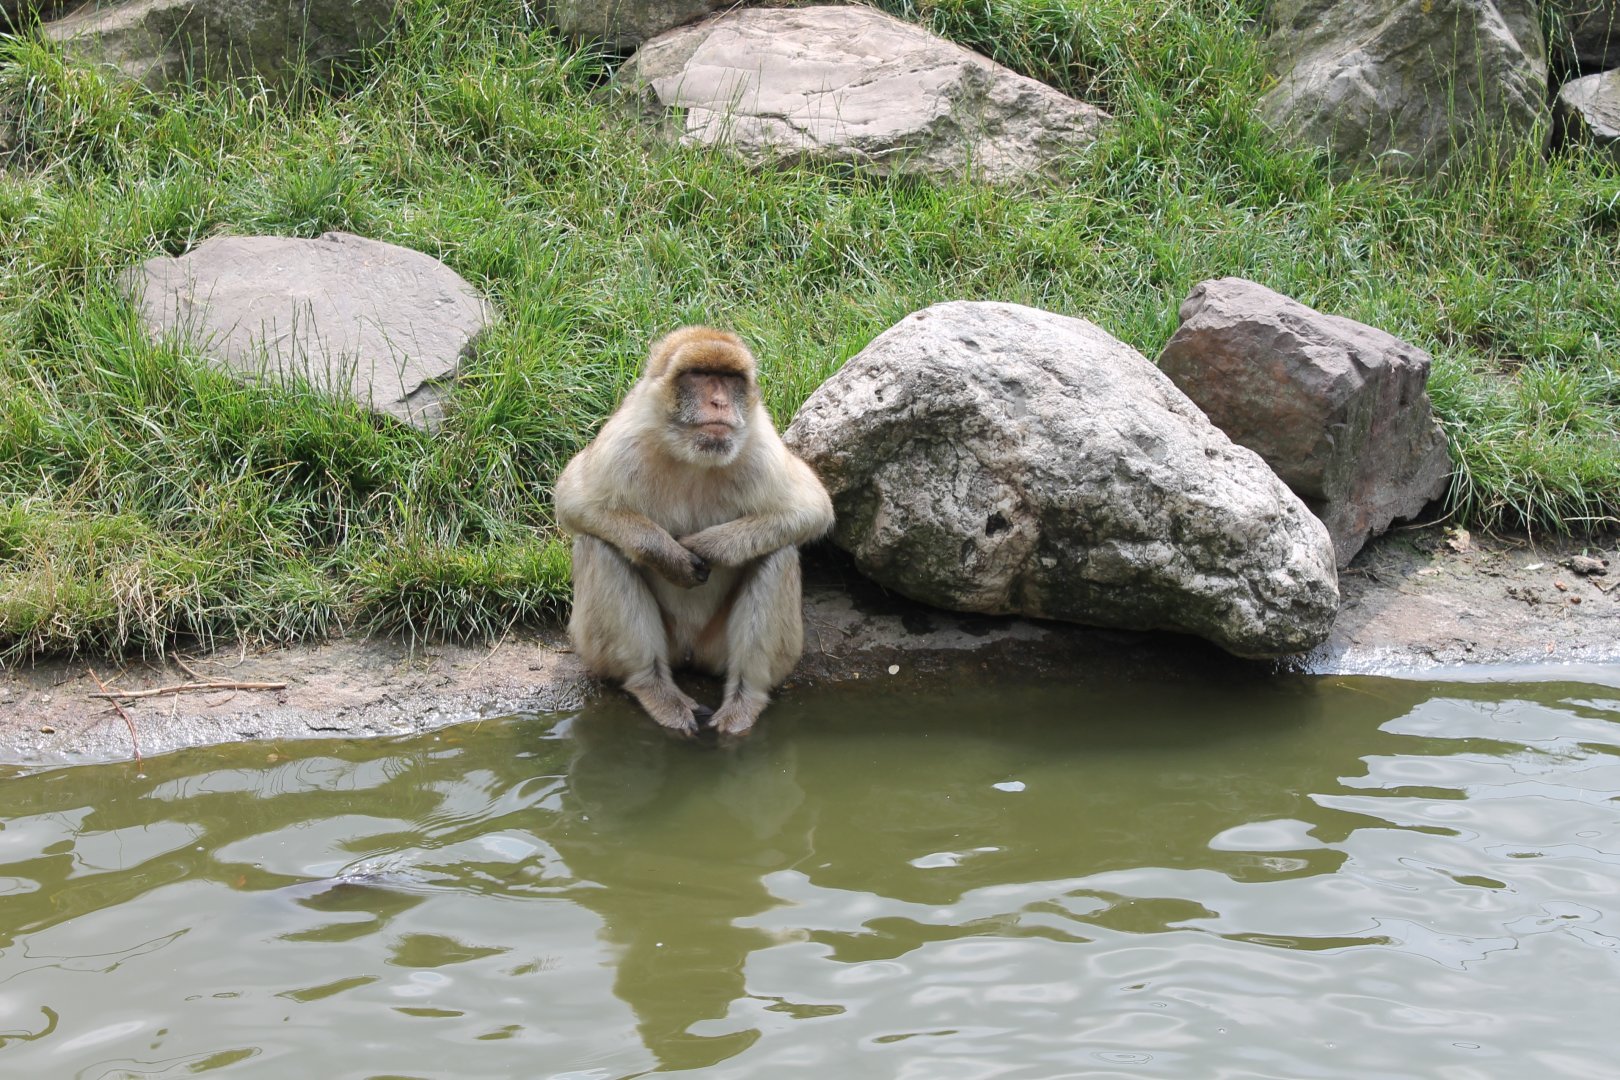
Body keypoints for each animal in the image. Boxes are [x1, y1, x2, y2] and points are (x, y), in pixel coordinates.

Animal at [553, 327, 835, 739]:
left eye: (730, 379)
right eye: (700, 375)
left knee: (776, 552)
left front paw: (713, 546)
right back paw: (651, 685)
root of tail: (689, 652)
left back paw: (745, 699)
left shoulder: (759, 444)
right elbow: (574, 500)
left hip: (715, 648)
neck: (692, 458)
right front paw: (666, 554)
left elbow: (811, 508)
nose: (719, 402)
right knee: (600, 544)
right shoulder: (625, 441)